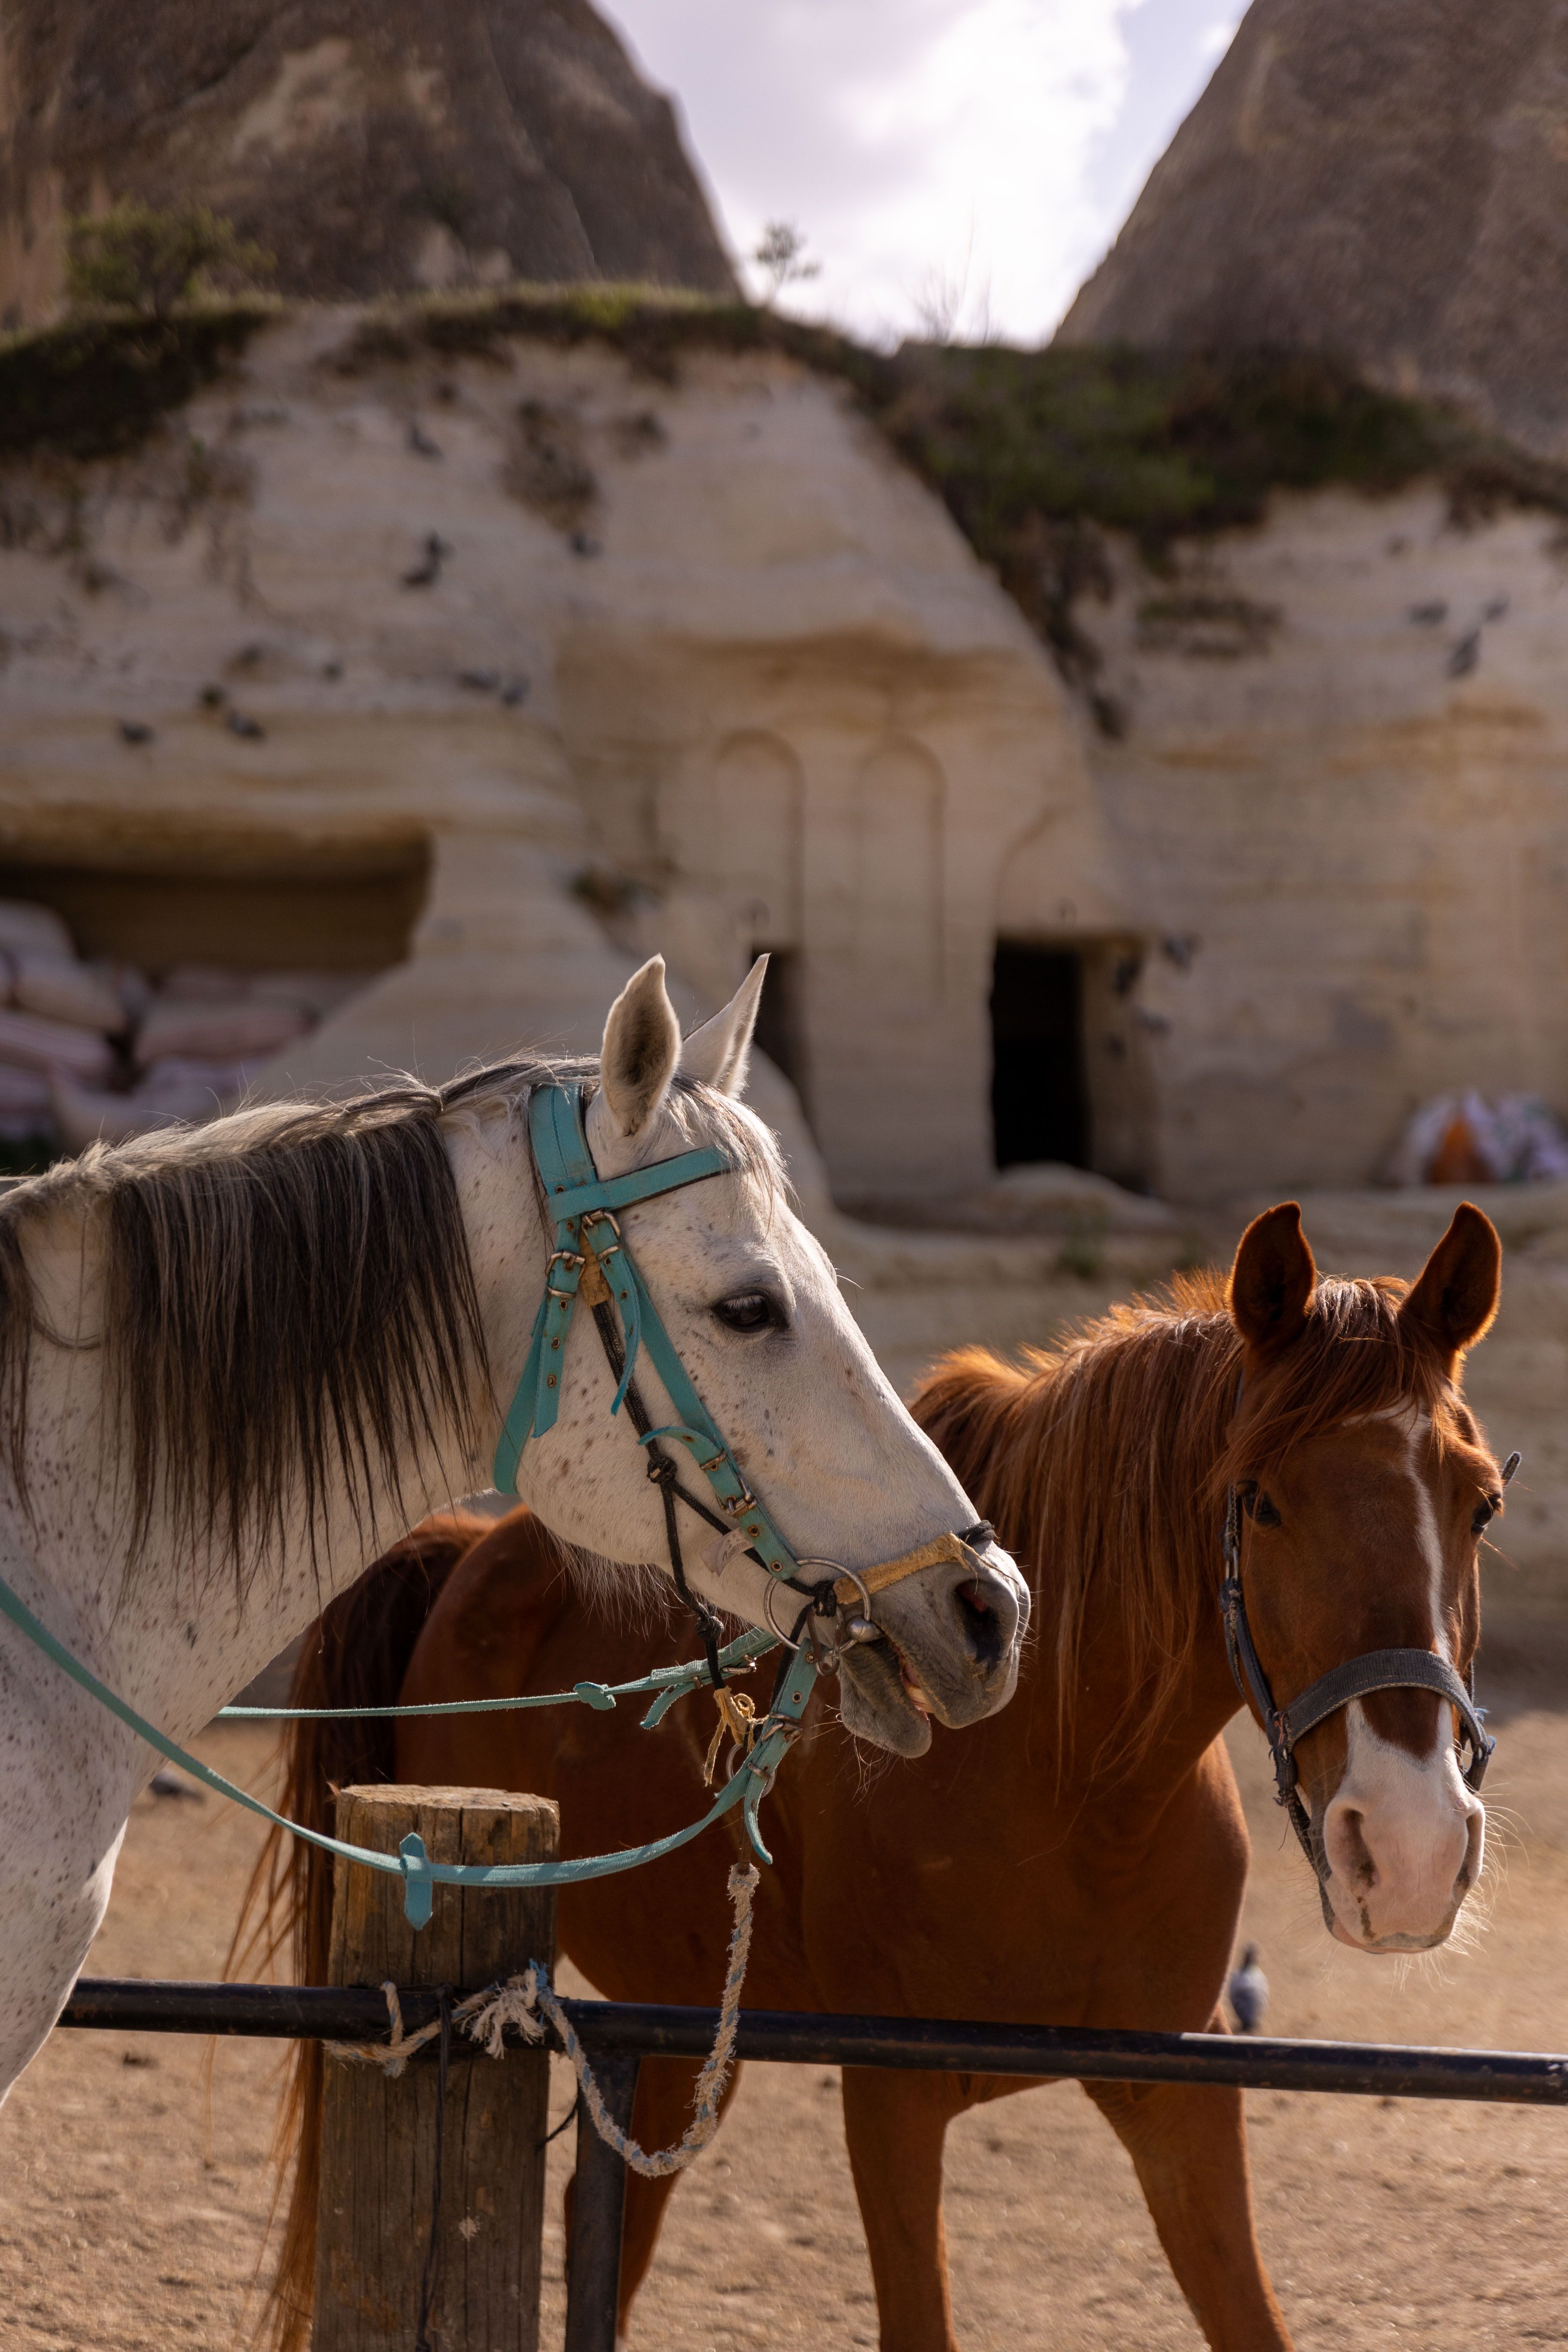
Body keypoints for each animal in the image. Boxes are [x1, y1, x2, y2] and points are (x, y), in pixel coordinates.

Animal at [251, 1195, 1506, 2352]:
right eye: (1264, 1499)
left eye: (1482, 1503)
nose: (1411, 1846)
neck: (1070, 1792)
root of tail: (472, 1547)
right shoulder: (893, 2101)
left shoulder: (1179, 2098)